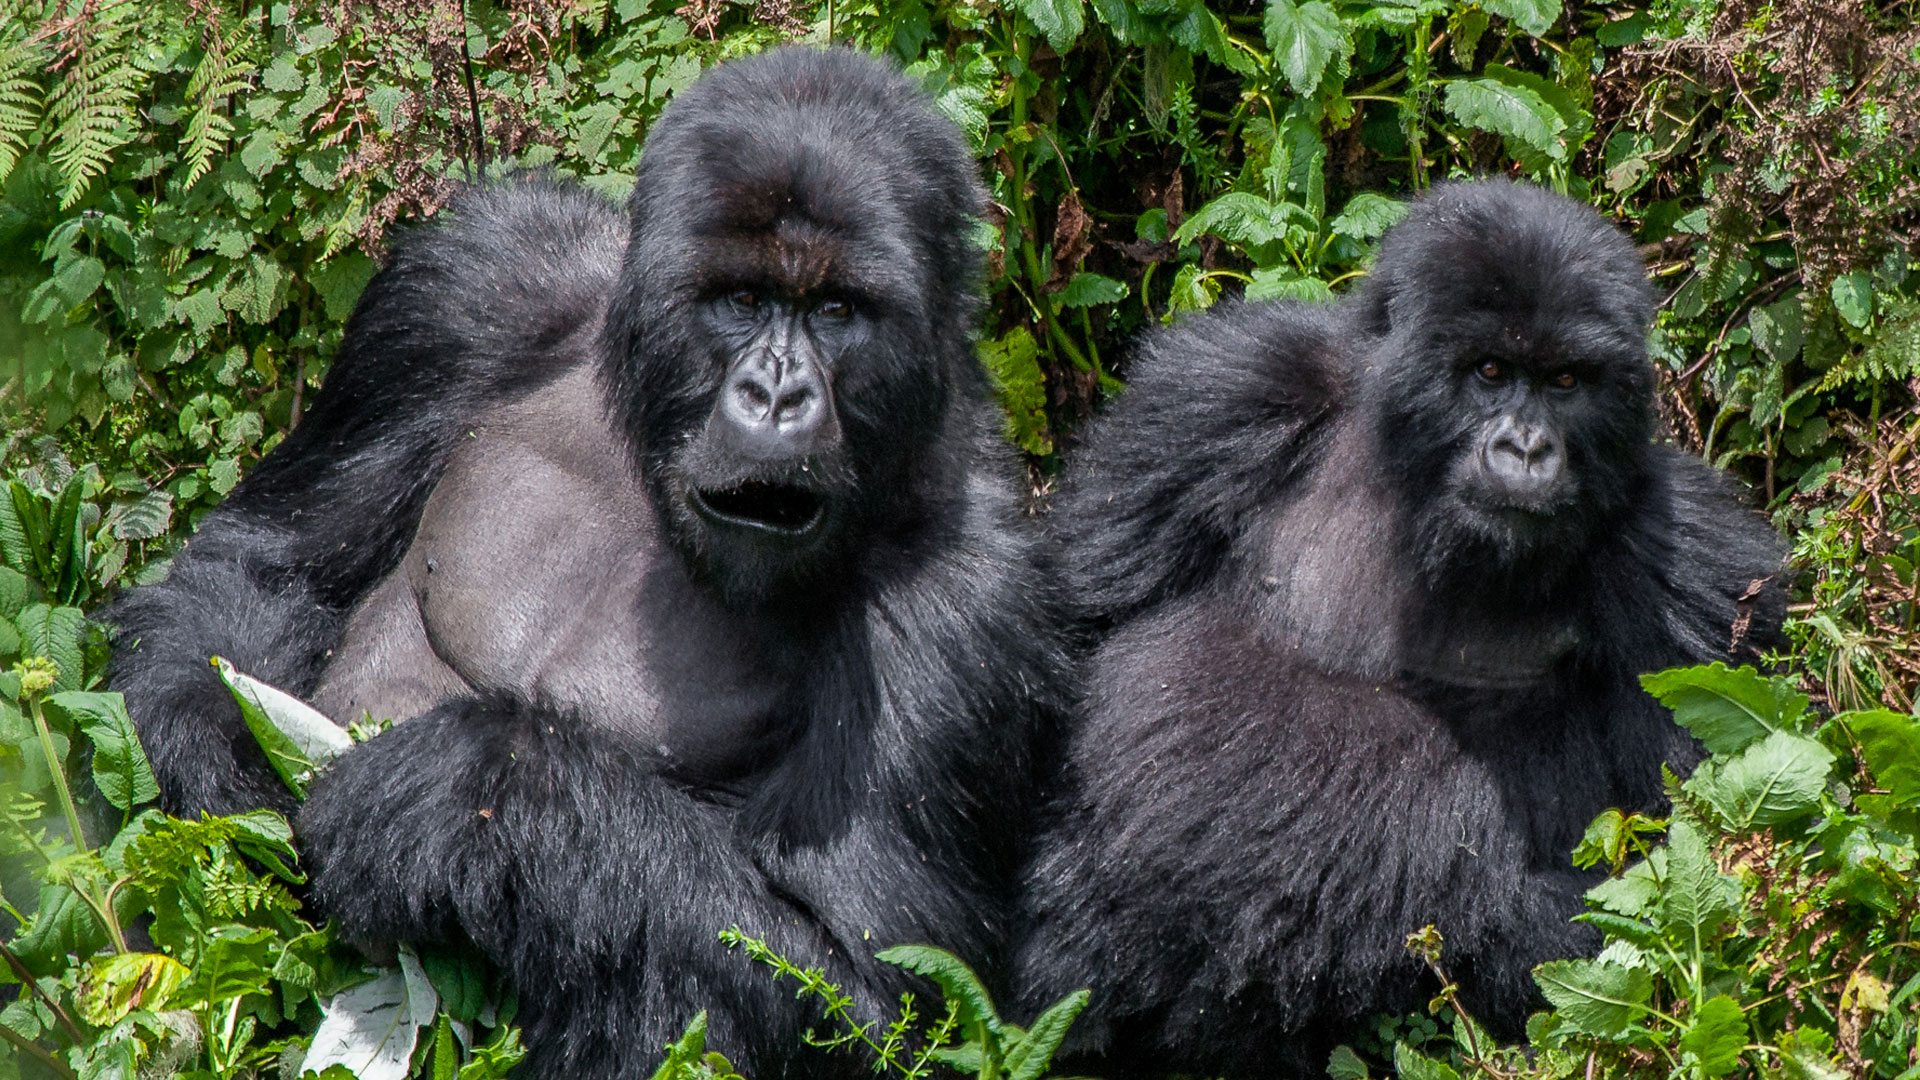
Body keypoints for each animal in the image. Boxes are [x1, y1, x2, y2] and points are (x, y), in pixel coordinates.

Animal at [107, 46, 1067, 1068]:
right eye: (743, 300)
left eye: (840, 310)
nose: (777, 396)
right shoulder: (477, 278)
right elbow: (263, 565)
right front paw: (230, 763)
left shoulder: (965, 608)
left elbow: (878, 1001)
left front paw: (463, 791)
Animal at [1021, 180, 1781, 1068]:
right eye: (1489, 371)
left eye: (1566, 381)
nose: (1527, 449)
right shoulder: (1226, 388)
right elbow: (1087, 609)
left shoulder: (1687, 563)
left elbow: (1680, 833)